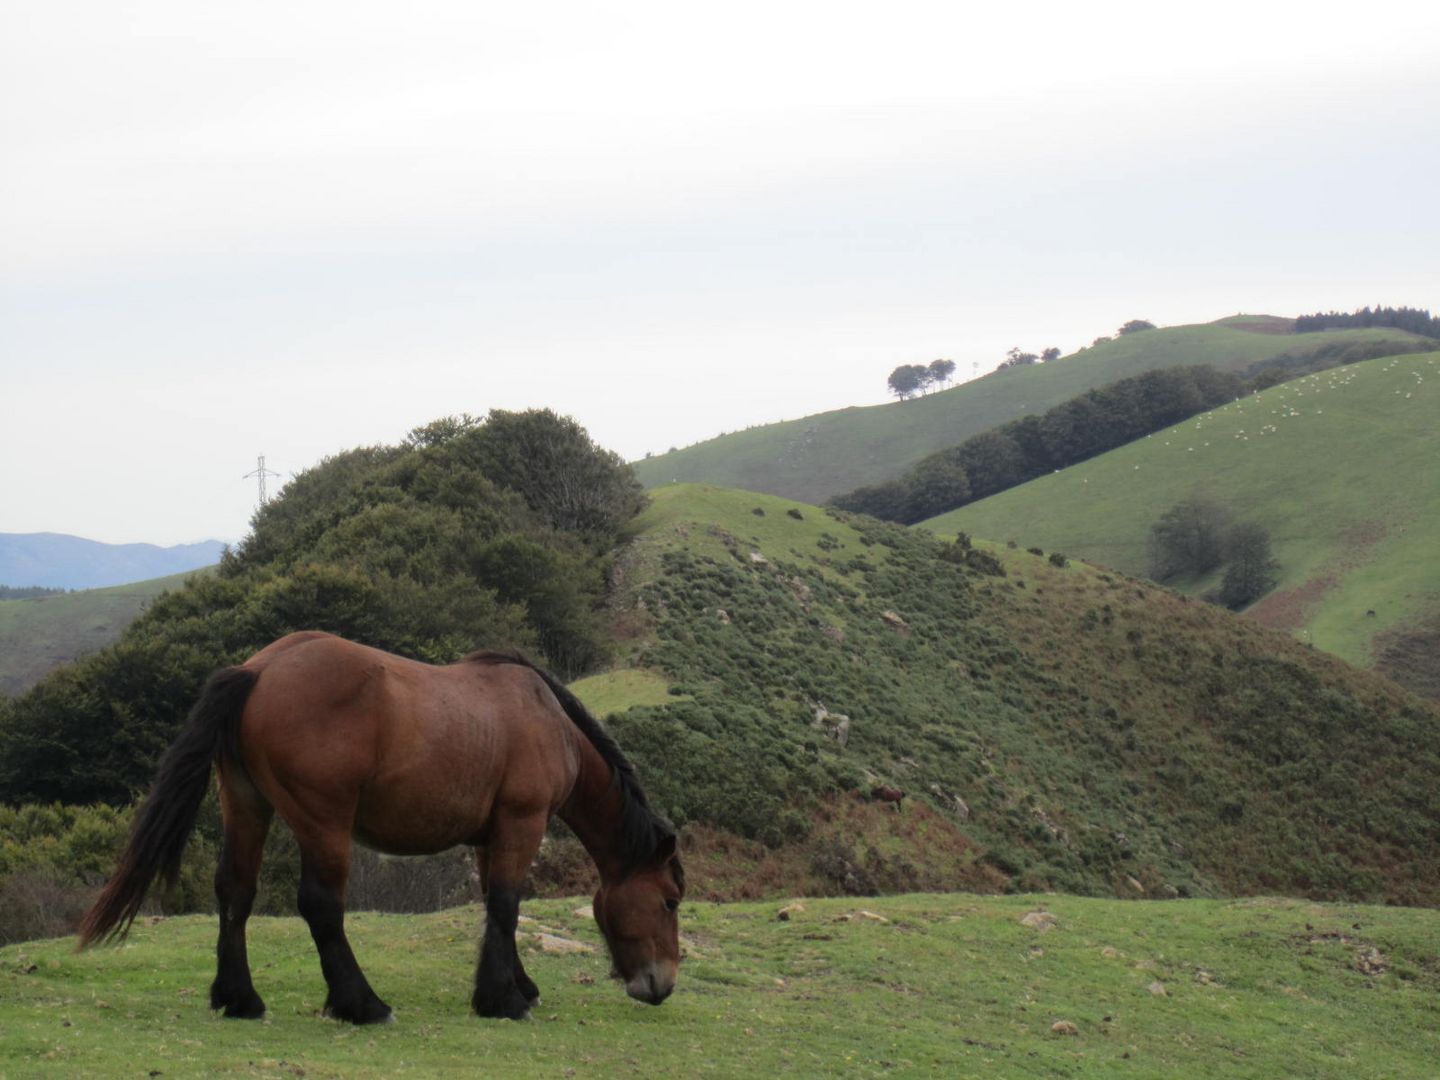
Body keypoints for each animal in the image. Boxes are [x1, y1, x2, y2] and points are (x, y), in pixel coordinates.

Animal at [77, 639, 685, 1025]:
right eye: (671, 900)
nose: (663, 986)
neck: (545, 718)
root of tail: (259, 670)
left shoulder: (491, 837)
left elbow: (496, 906)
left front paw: (519, 987)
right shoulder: (522, 821)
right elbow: (508, 905)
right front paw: (503, 1000)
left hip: (245, 806)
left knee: (235, 893)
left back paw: (240, 999)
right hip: (323, 822)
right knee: (321, 906)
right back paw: (362, 1005)